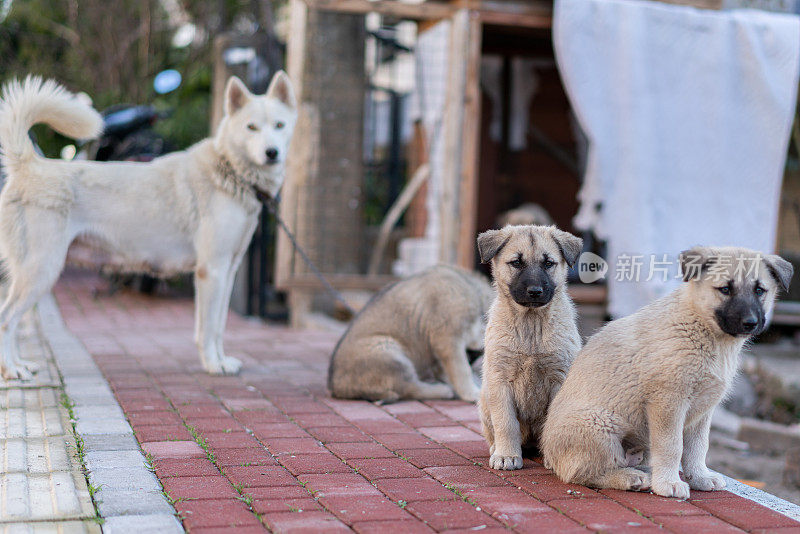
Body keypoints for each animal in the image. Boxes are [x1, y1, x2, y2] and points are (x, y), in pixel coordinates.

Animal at [0, 72, 298, 382]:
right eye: (251, 127)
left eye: (279, 125)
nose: (272, 152)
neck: (230, 171)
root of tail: (29, 165)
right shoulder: (211, 271)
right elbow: (206, 329)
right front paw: (213, 366)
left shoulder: (227, 271)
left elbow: (218, 327)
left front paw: (222, 361)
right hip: (41, 270)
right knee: (6, 319)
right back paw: (11, 369)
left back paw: (20, 364)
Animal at [478, 226, 584, 474]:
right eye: (517, 262)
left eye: (548, 263)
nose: (535, 291)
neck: (531, 326)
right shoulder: (499, 380)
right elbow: (506, 423)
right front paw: (506, 456)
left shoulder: (560, 377)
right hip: (484, 399)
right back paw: (497, 448)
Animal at [544, 249, 792, 500]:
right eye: (725, 289)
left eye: (759, 290)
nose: (750, 323)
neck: (703, 329)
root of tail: (547, 456)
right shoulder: (669, 402)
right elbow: (673, 446)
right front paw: (669, 484)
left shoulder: (703, 410)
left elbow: (698, 448)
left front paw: (699, 477)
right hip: (599, 426)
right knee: (581, 473)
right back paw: (630, 478)